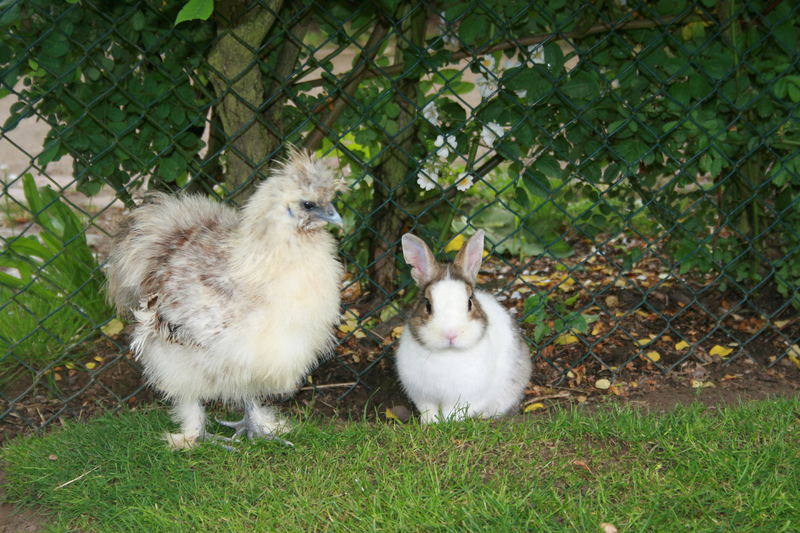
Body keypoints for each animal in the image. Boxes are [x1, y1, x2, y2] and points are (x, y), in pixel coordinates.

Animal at [394, 229, 532, 424]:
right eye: (427, 305)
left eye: (469, 302)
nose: (451, 334)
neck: (448, 353)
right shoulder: (422, 395)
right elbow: (429, 410)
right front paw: (431, 423)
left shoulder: (467, 397)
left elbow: (453, 412)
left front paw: (448, 422)